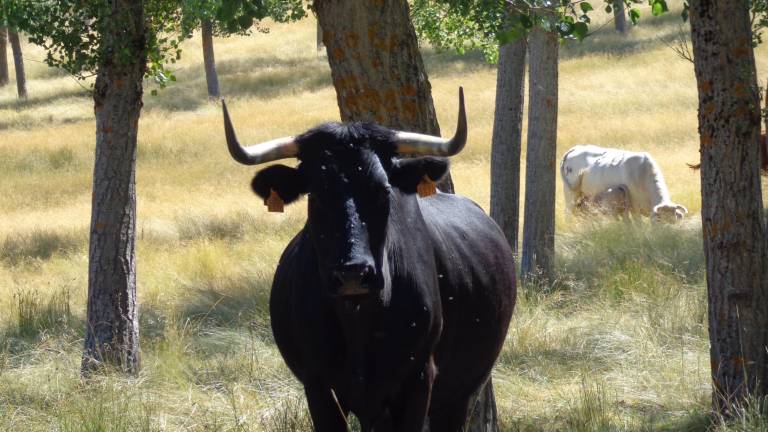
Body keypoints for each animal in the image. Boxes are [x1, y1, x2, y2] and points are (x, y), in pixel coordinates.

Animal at [225, 90, 520, 428]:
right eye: (316, 193)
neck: (359, 320)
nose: (353, 274)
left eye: (383, 190)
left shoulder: (418, 381)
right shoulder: (318, 386)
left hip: (463, 391)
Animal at [560, 145, 688, 223]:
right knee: (568, 212)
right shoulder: (634, 207)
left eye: (674, 221)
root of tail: (576, 148)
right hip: (570, 193)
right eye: (660, 221)